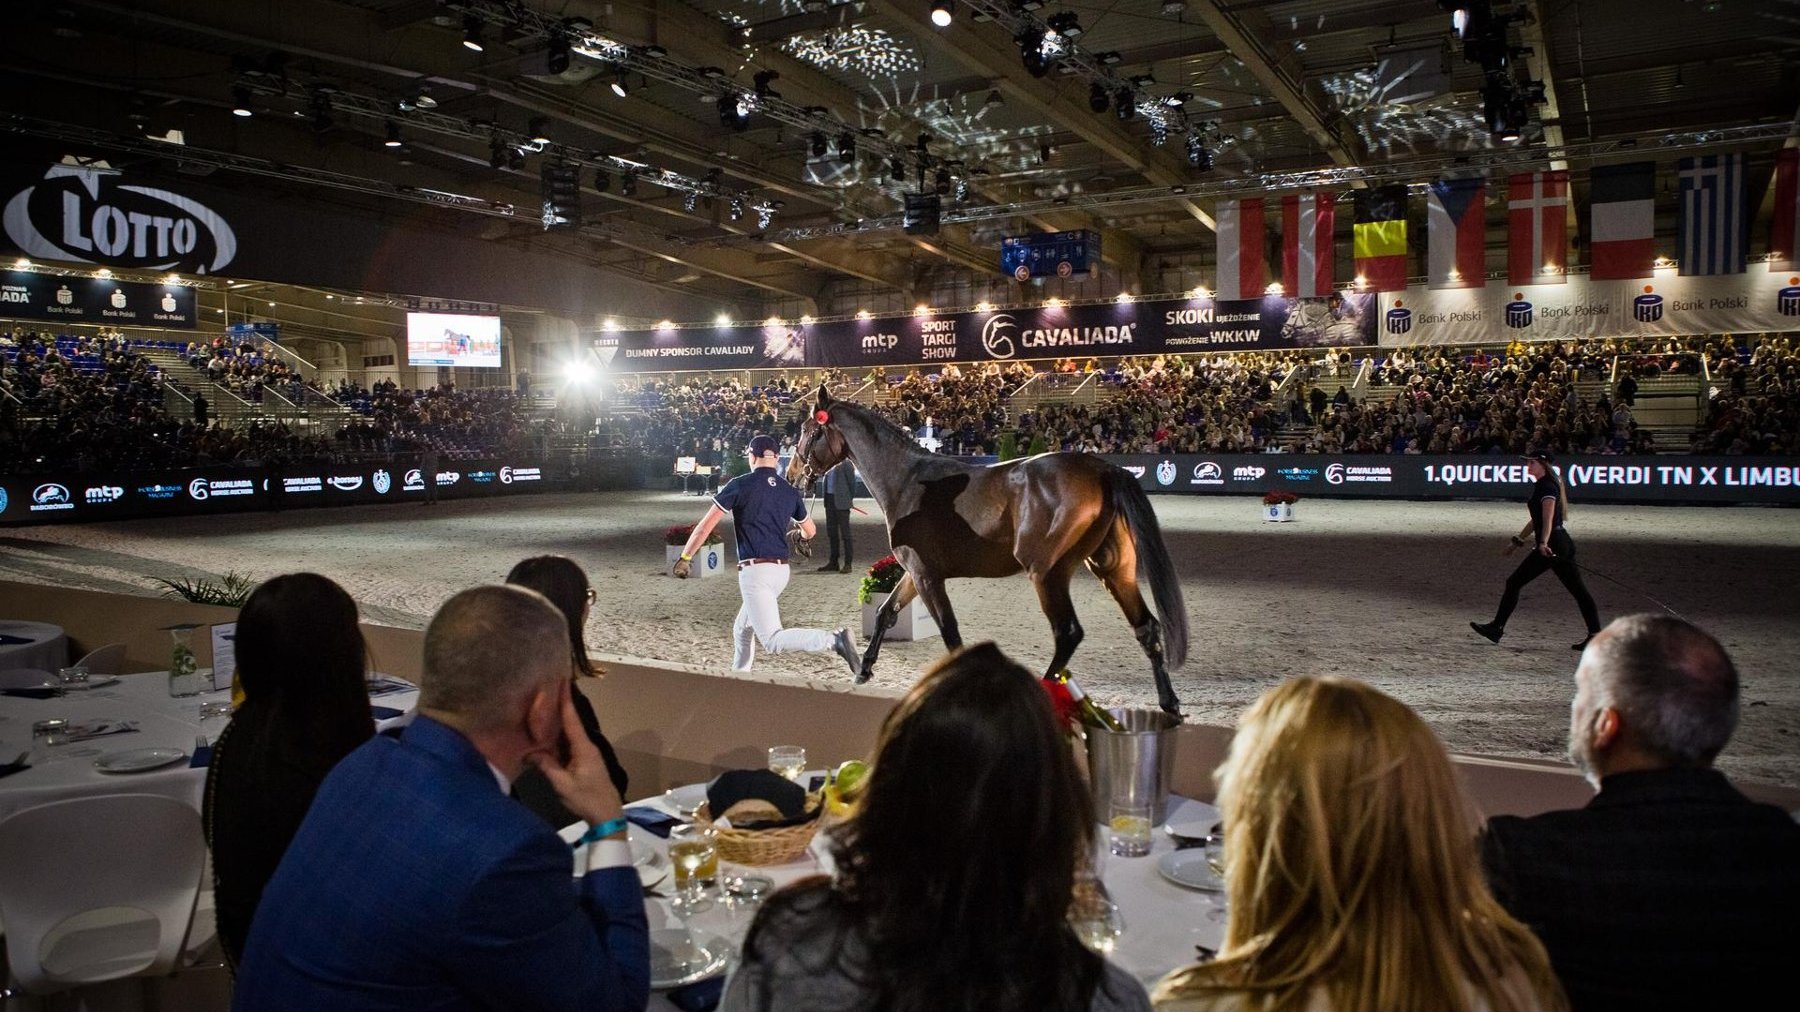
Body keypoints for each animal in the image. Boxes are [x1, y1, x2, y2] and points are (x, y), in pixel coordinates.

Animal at [781, 383, 1188, 709]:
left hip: (1047, 575)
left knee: (1068, 632)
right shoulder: (915, 572)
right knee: (1146, 628)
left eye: (807, 430)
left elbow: (950, 632)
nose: (792, 475)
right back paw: (1168, 702)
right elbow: (885, 613)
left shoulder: (927, 577)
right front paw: (863, 670)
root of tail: (1103, 469)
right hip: (1113, 571)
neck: (908, 480)